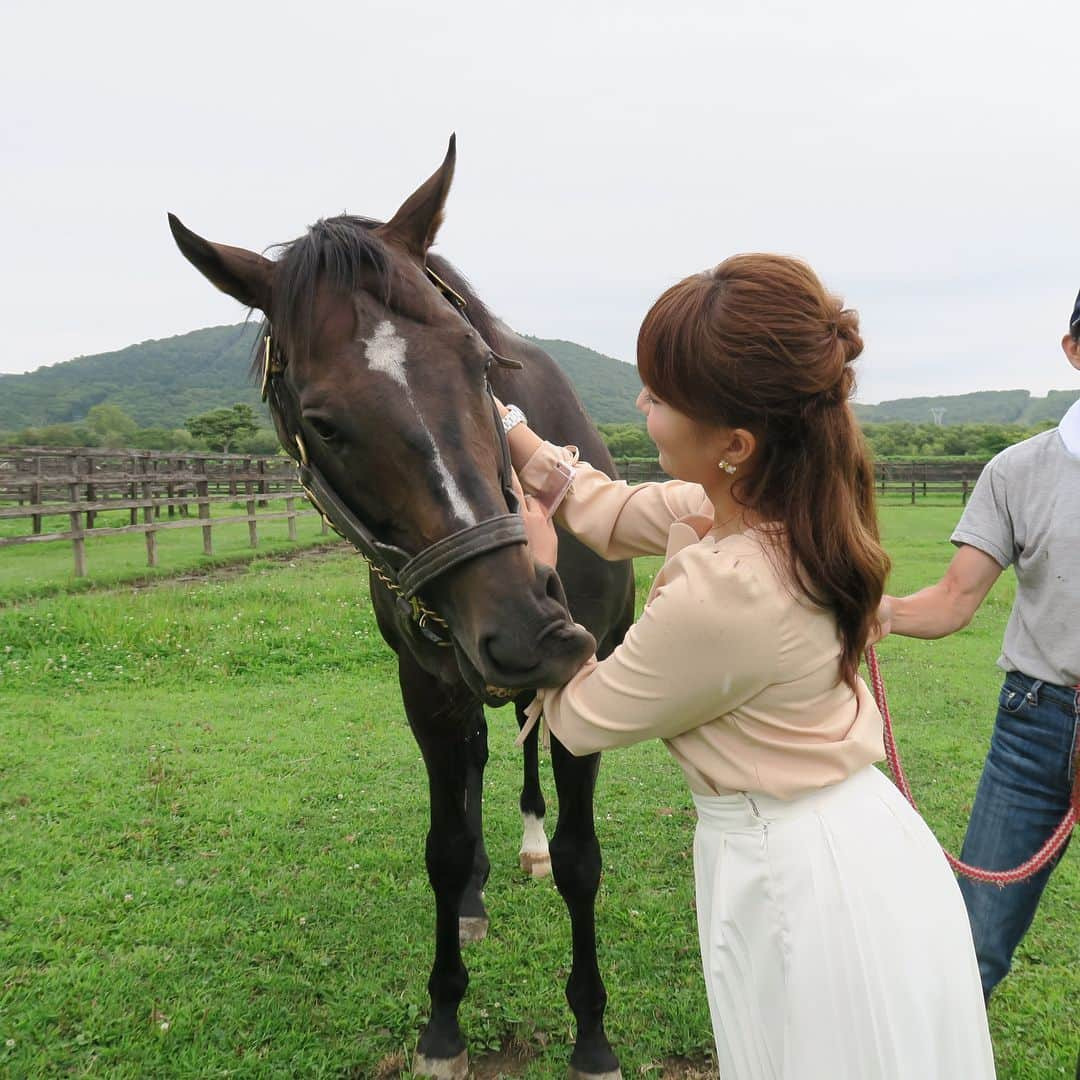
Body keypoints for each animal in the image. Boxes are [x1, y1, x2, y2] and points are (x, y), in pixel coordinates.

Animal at [170, 139, 630, 1075]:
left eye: (481, 365)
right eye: (321, 422)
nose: (526, 630)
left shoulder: (585, 674)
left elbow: (580, 860)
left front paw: (592, 1033)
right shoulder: (428, 689)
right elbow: (444, 851)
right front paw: (444, 1021)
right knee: (485, 760)